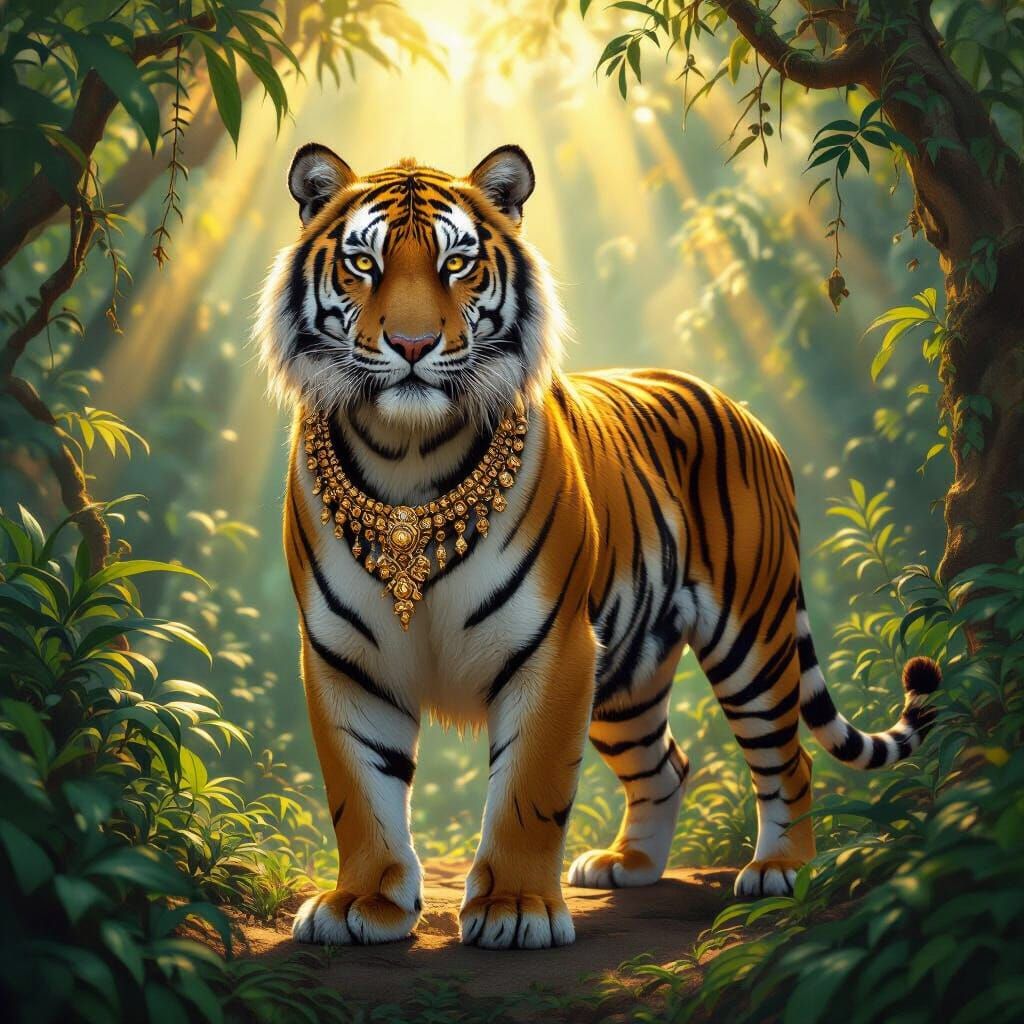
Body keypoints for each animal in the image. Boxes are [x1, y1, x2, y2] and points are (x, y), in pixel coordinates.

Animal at [255, 142, 941, 951]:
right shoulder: (344, 656)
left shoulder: (554, 647)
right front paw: (363, 903)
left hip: (750, 637)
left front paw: (515, 911)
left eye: (458, 265)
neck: (407, 456)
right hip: (628, 671)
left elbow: (530, 788)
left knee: (790, 758)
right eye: (364, 263)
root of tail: (741, 407)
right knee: (666, 764)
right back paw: (629, 865)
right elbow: (359, 790)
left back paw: (782, 871)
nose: (414, 345)